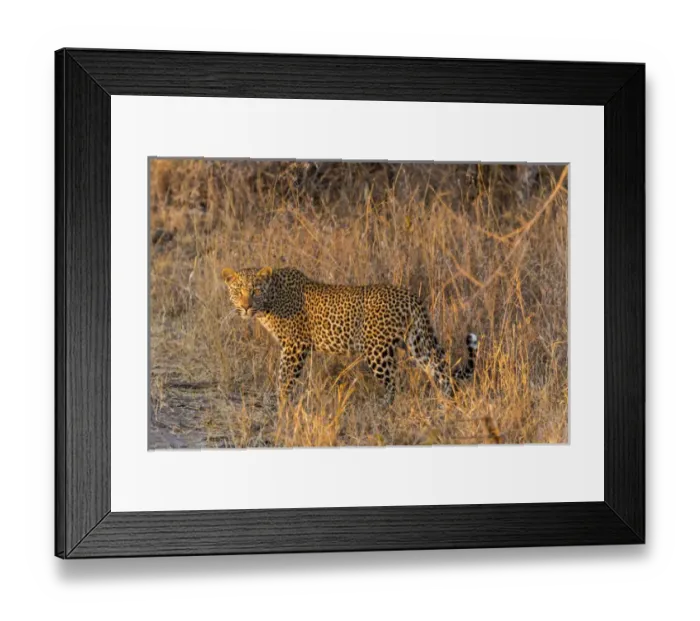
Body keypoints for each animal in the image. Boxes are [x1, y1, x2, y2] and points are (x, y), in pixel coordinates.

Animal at [221, 266, 478, 406]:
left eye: (255, 291)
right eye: (238, 291)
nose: (245, 307)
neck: (270, 301)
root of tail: (410, 295)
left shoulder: (295, 345)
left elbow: (285, 376)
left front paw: (281, 401)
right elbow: (282, 374)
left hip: (377, 351)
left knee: (393, 382)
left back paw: (384, 407)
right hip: (416, 343)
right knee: (439, 368)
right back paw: (447, 403)